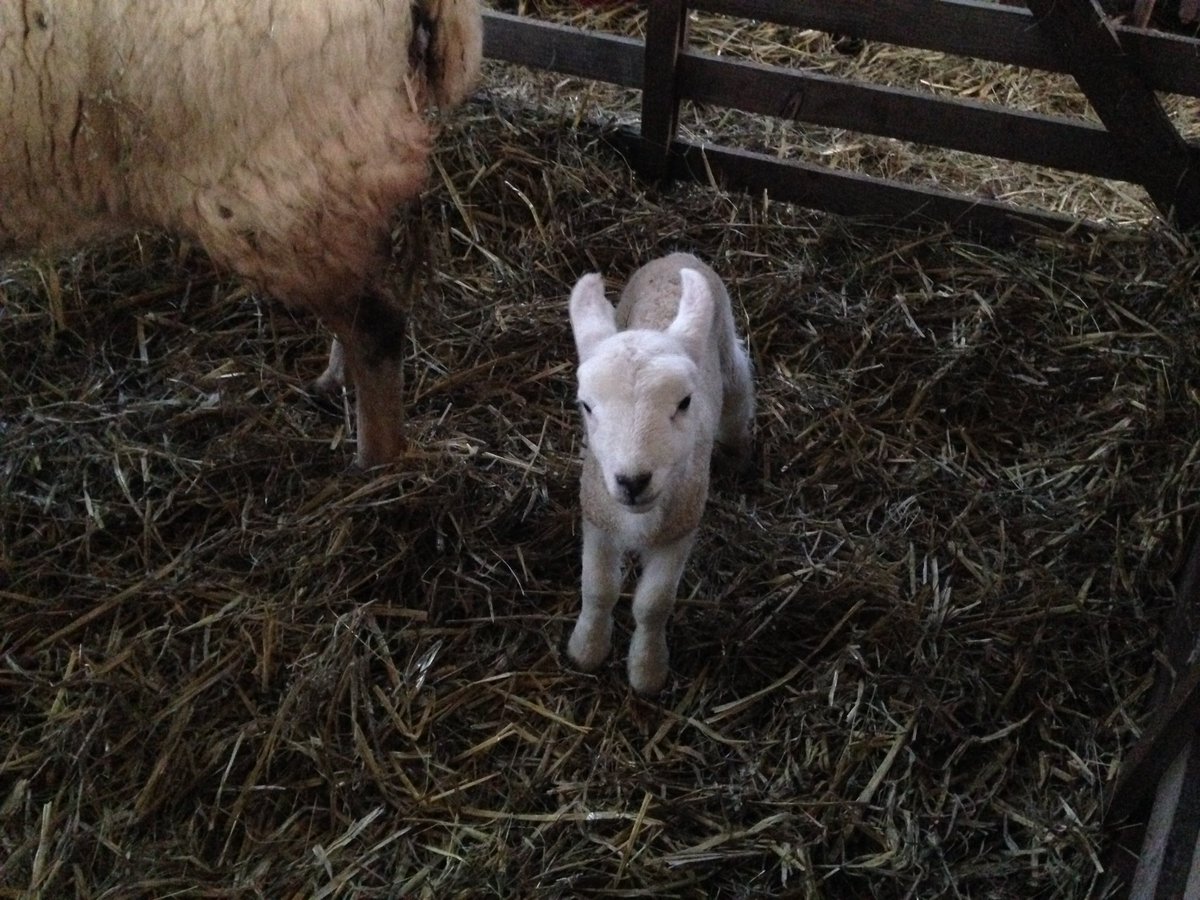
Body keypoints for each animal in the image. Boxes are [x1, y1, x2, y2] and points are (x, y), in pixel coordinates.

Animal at [566, 253, 755, 694]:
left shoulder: (679, 530)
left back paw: (739, 453)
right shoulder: (597, 519)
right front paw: (587, 649)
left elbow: (653, 606)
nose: (633, 481)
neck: (637, 521)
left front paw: (647, 670)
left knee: (739, 391)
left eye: (685, 402)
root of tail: (677, 255)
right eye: (586, 405)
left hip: (726, 346)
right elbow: (597, 589)